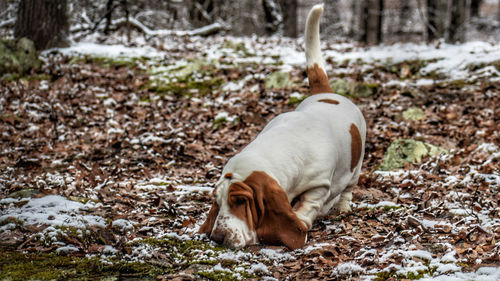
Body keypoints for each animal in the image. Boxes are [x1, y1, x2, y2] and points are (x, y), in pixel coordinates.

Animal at [199, 4, 368, 248]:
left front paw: (301, 221)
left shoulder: (319, 186)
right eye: (218, 201)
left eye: (240, 201)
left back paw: (343, 207)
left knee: (347, 189)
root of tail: (326, 92)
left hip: (356, 165)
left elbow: (308, 205)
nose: (217, 238)